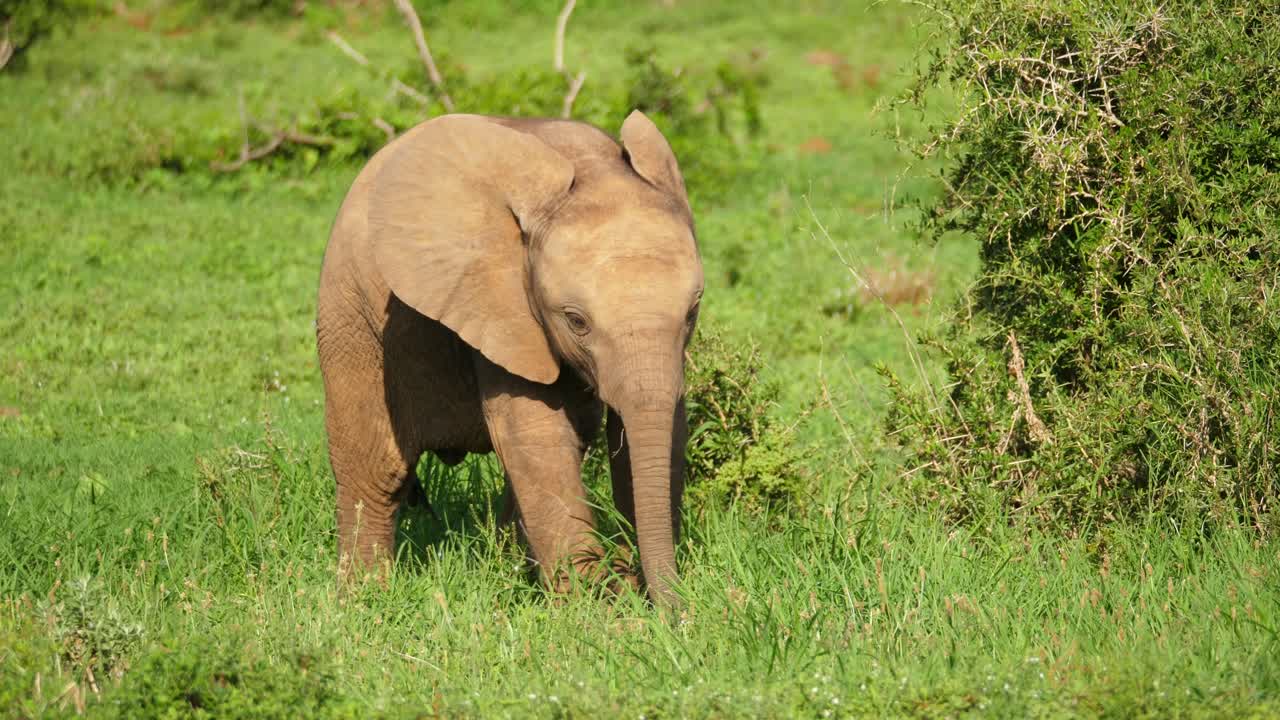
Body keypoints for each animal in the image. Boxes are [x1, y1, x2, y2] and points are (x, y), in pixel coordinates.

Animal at [315, 111, 702, 608]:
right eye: (576, 321)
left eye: (692, 310)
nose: (674, 615)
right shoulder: (498, 302)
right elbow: (536, 433)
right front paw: (599, 601)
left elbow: (657, 432)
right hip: (349, 315)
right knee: (374, 468)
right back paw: (365, 599)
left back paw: (510, 570)